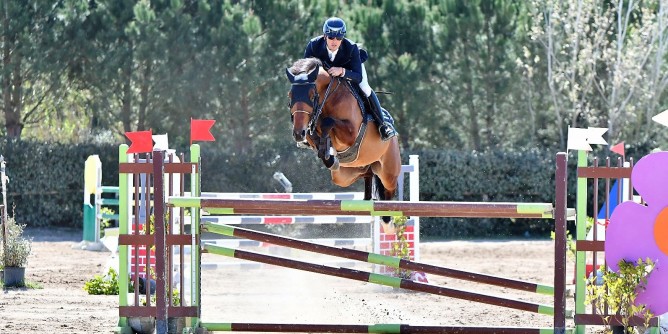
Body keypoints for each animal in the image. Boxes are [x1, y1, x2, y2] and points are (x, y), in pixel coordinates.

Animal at [284, 56, 400, 232]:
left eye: (311, 95)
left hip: (389, 172)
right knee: (367, 174)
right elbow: (315, 133)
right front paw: (327, 153)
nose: (298, 133)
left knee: (388, 192)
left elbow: (327, 122)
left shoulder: (351, 132)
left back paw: (388, 222)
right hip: (345, 176)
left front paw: (327, 148)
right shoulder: (310, 127)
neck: (328, 98)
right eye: (290, 95)